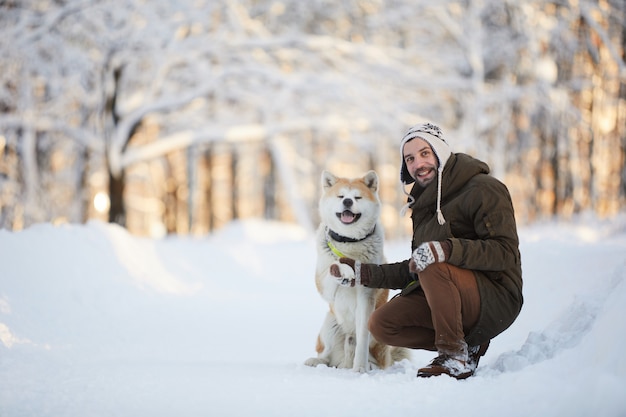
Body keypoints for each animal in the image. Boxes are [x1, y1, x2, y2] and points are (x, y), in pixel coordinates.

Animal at [304, 169, 410, 370]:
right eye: (341, 196)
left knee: (373, 356)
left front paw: (360, 367)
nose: (347, 201)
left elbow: (362, 339)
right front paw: (344, 270)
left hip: (375, 332)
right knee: (327, 355)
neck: (349, 243)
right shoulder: (324, 287)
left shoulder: (366, 297)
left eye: (357, 197)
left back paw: (368, 366)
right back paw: (317, 361)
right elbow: (333, 266)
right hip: (329, 326)